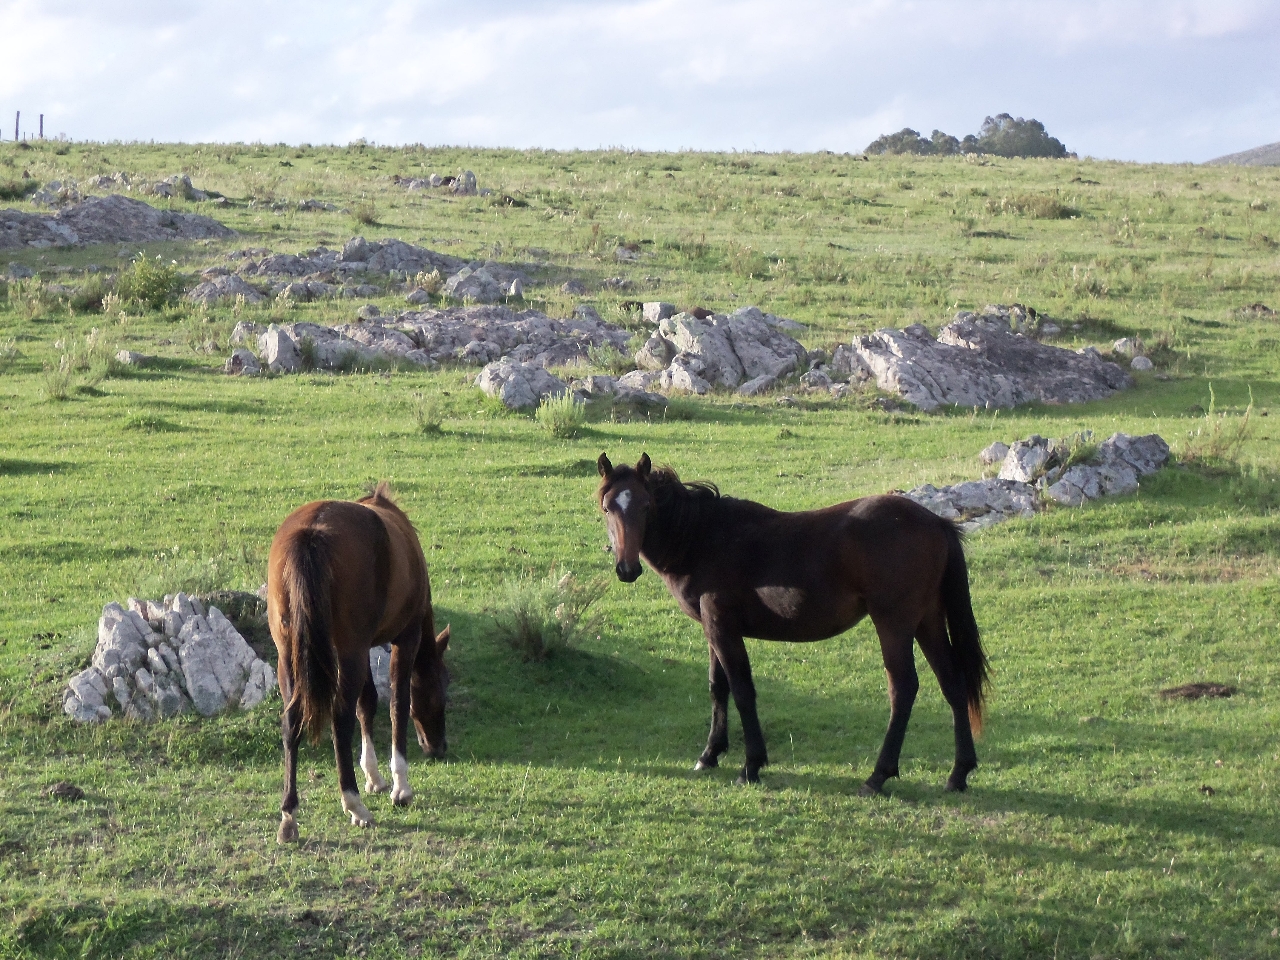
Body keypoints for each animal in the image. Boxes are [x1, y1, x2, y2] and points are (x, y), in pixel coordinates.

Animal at [267, 482, 450, 843]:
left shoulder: (364, 648)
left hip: (289, 656)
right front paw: (399, 786)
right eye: (441, 688)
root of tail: (311, 533)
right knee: (340, 717)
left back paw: (289, 815)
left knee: (291, 721)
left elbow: (368, 703)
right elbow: (397, 703)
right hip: (348, 651)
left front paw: (374, 777)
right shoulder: (404, 639)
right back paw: (353, 804)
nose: (439, 746)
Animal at [595, 453, 989, 795]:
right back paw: (958, 773)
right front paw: (709, 755)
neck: (703, 538)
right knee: (953, 684)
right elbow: (717, 688)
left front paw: (751, 765)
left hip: (894, 624)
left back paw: (878, 776)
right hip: (928, 621)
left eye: (646, 506)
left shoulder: (723, 627)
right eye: (607, 507)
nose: (627, 569)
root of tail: (936, 522)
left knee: (903, 689)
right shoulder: (711, 628)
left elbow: (742, 690)